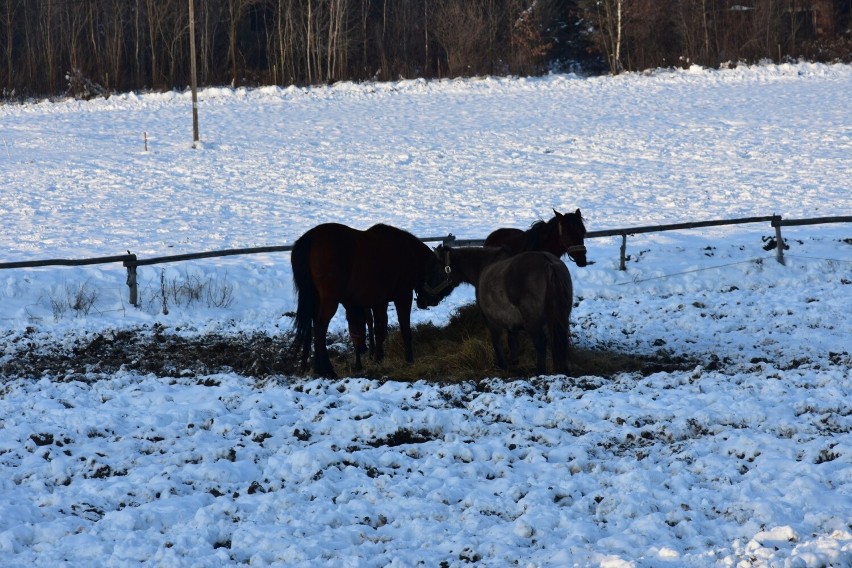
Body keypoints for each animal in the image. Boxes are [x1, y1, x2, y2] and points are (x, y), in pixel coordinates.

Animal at [292, 222, 452, 378]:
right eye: (438, 273)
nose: (429, 301)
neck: (409, 253)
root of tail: (311, 238)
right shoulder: (403, 296)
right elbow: (405, 329)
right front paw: (409, 359)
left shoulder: (379, 302)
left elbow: (379, 330)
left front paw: (378, 357)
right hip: (330, 301)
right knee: (320, 327)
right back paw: (327, 370)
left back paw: (319, 368)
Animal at [424, 245, 572, 374]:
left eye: (434, 270)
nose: (423, 300)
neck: (482, 267)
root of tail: (548, 263)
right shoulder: (511, 322)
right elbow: (513, 342)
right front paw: (514, 364)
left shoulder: (491, 321)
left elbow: (497, 343)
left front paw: (502, 367)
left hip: (533, 323)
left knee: (541, 343)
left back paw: (540, 372)